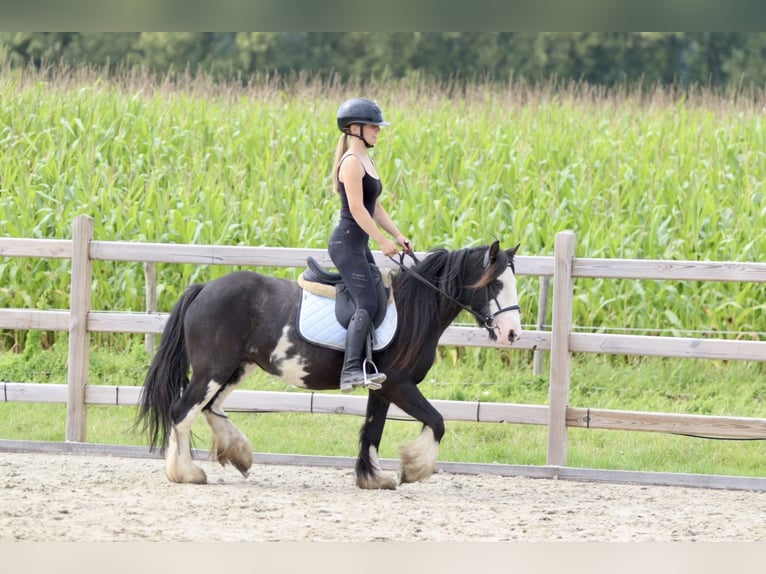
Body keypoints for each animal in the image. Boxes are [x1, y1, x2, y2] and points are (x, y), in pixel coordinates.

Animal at [136, 240, 520, 490]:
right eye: (497, 283)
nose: (513, 333)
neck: (413, 309)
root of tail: (203, 288)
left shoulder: (382, 386)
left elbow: (372, 430)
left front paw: (374, 478)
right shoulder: (399, 383)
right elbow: (437, 421)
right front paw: (413, 469)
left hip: (236, 369)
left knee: (209, 408)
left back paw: (239, 455)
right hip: (213, 370)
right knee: (182, 411)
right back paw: (187, 474)